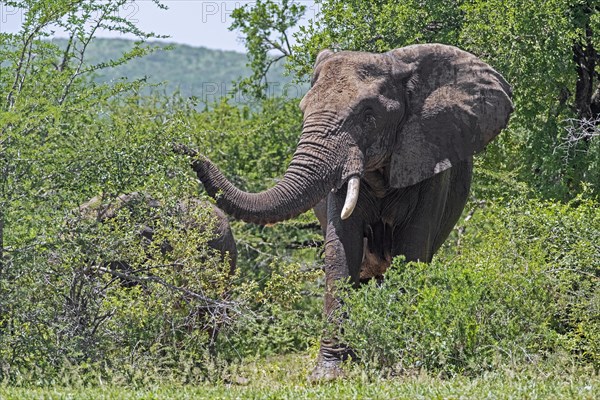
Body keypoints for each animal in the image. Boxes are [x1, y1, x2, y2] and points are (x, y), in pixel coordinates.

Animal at [176, 43, 512, 382]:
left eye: (368, 115)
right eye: (304, 110)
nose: (182, 148)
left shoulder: (428, 158)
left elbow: (412, 249)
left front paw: (404, 360)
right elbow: (341, 250)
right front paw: (329, 374)